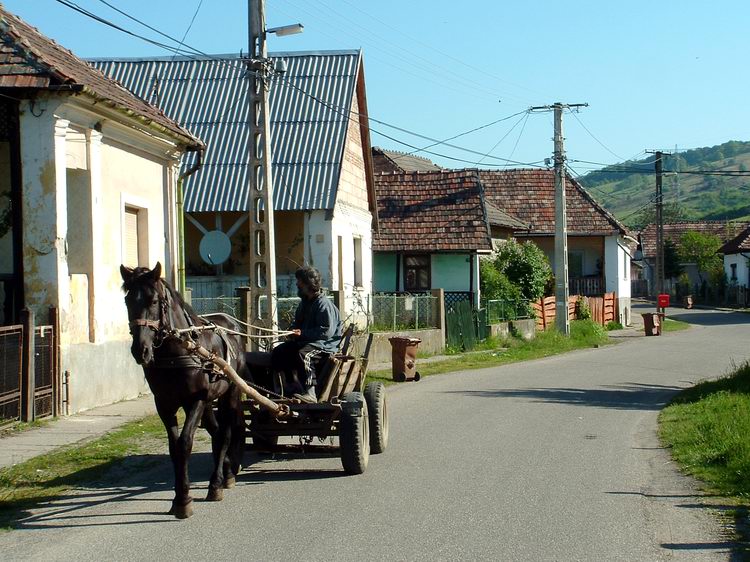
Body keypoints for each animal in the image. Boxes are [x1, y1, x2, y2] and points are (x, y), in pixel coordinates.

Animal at [119, 262, 245, 516]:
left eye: (153, 301)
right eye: (128, 301)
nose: (140, 350)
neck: (177, 351)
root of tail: (231, 322)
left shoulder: (196, 400)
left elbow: (185, 443)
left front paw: (184, 500)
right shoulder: (164, 404)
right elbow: (173, 448)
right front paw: (180, 497)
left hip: (230, 394)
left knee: (226, 433)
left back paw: (219, 482)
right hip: (208, 402)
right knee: (217, 433)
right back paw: (223, 473)